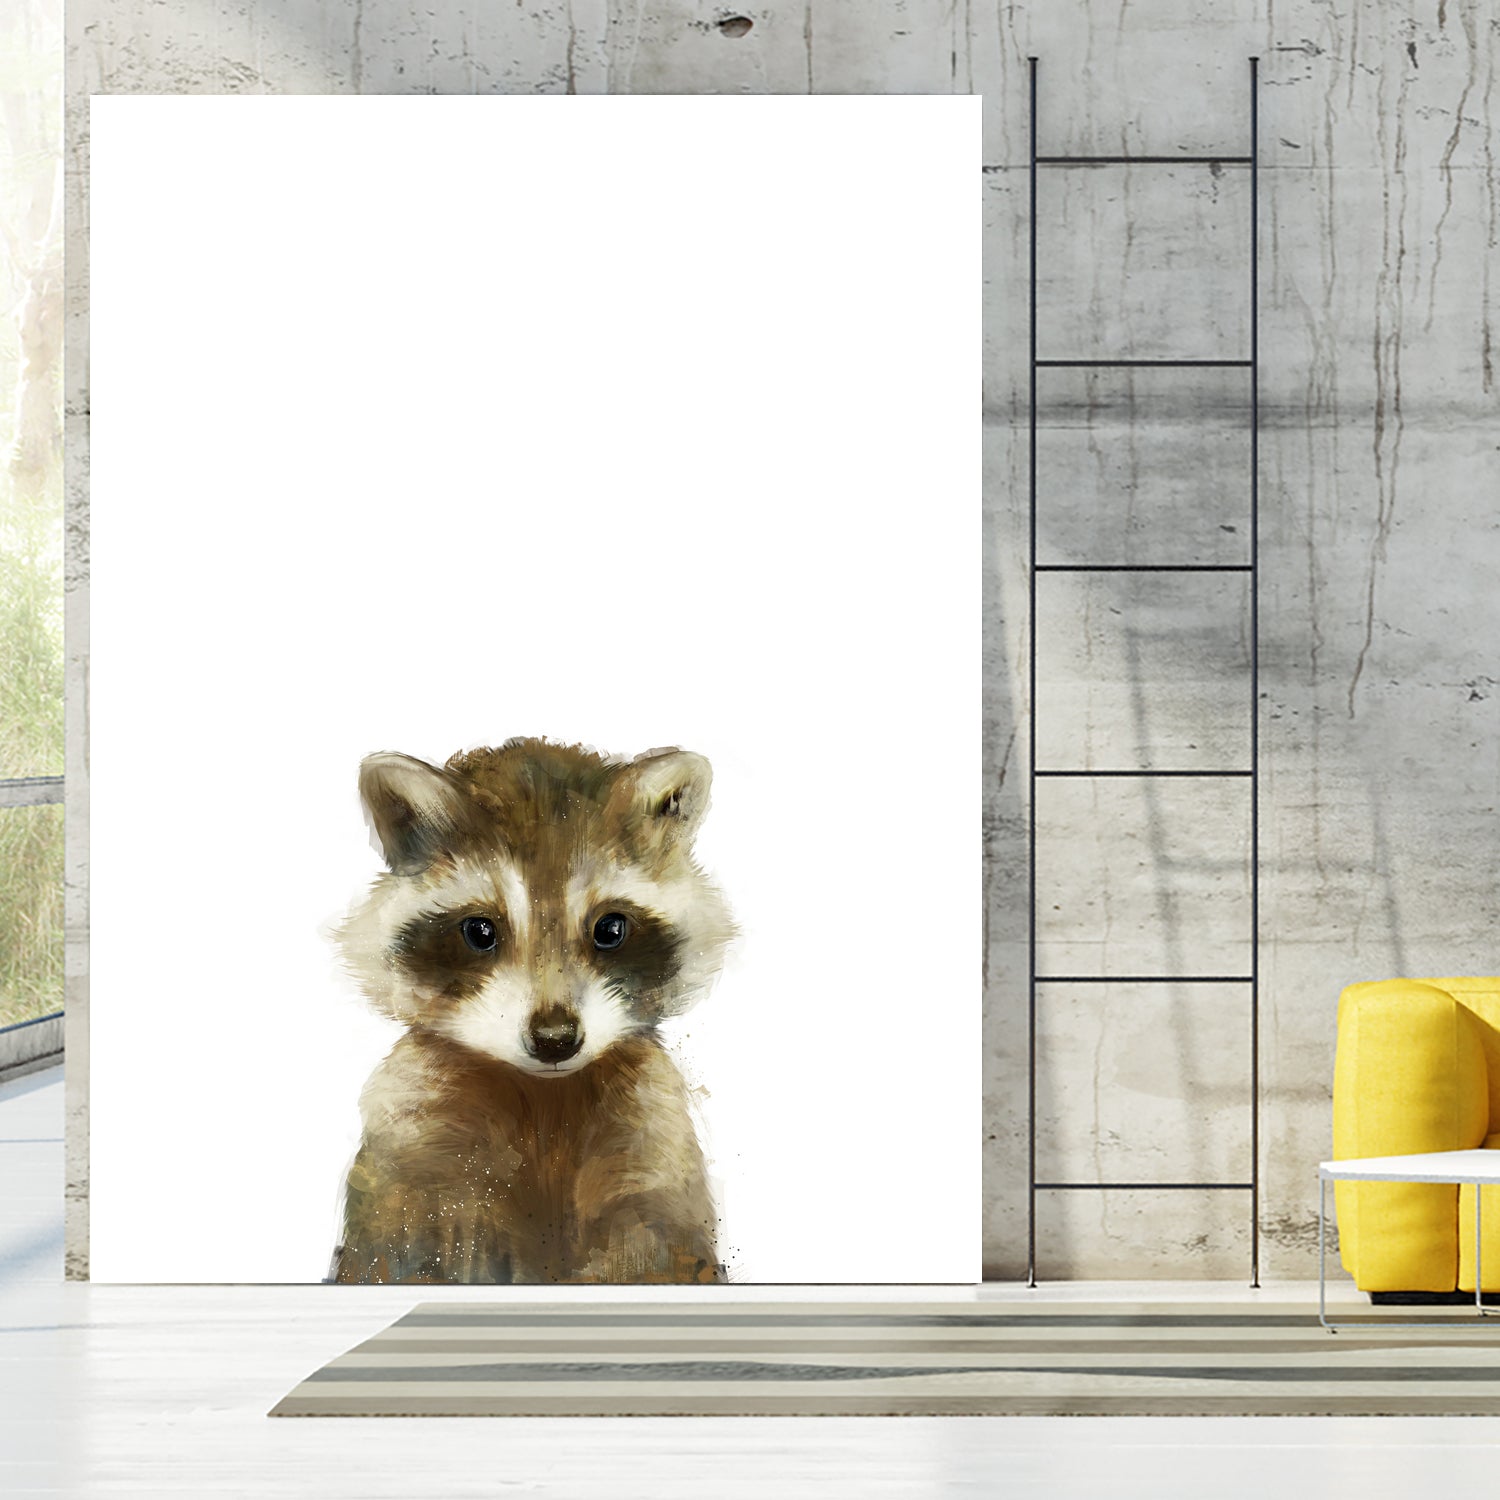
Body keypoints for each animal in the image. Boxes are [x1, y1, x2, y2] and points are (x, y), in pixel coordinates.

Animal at [329, 738, 736, 1284]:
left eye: (610, 929)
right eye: (480, 931)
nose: (555, 1038)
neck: (545, 1098)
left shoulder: (653, 1145)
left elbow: (656, 1251)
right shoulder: (413, 1148)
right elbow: (402, 1253)